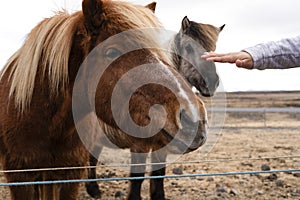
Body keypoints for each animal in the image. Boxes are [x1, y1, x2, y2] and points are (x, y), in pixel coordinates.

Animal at [0, 0, 206, 200]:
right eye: (111, 52)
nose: (194, 117)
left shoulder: (71, 174)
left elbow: (157, 175)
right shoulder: (21, 177)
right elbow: (138, 176)